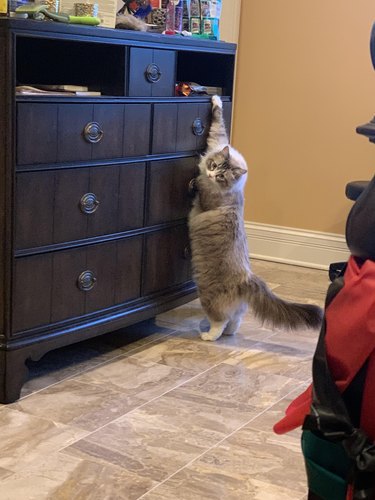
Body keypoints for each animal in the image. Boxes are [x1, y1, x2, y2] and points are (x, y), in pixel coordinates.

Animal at [188, 95, 324, 342]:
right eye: (214, 165)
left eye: (221, 176)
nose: (211, 173)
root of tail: (247, 278)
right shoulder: (217, 140)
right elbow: (218, 124)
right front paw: (216, 100)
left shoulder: (206, 196)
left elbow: (199, 186)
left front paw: (197, 180)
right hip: (235, 309)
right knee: (235, 321)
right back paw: (228, 333)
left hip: (208, 296)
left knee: (220, 321)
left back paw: (208, 336)